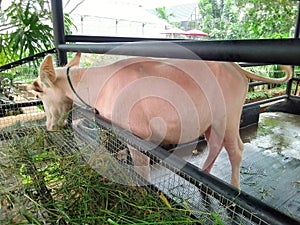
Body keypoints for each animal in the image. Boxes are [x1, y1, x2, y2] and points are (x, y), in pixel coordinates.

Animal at [31, 52, 290, 188]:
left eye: (39, 94)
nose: (49, 126)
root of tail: (236, 67)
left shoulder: (138, 134)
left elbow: (141, 168)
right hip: (210, 121)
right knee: (215, 144)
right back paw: (204, 173)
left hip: (229, 115)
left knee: (236, 149)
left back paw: (234, 189)